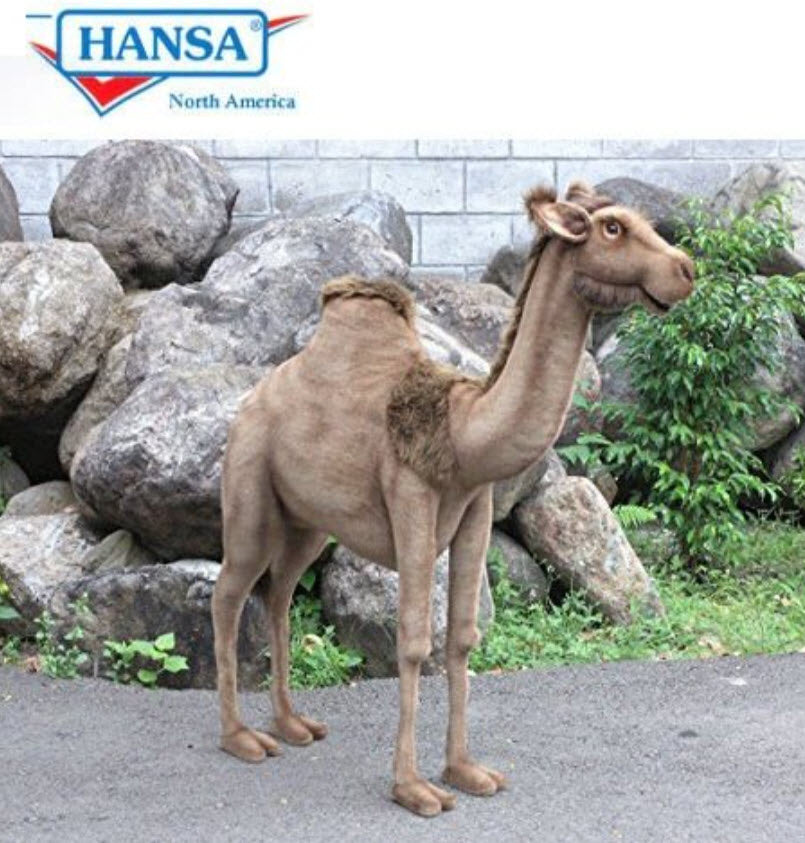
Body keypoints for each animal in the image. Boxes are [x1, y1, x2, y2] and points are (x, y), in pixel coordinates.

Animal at [211, 181, 695, 817]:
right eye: (612, 228)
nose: (685, 269)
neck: (466, 433)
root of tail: (255, 396)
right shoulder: (412, 499)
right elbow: (416, 643)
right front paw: (412, 788)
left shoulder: (476, 508)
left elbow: (463, 637)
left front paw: (465, 770)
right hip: (250, 484)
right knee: (229, 592)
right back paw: (240, 737)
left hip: (308, 522)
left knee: (280, 593)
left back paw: (293, 725)